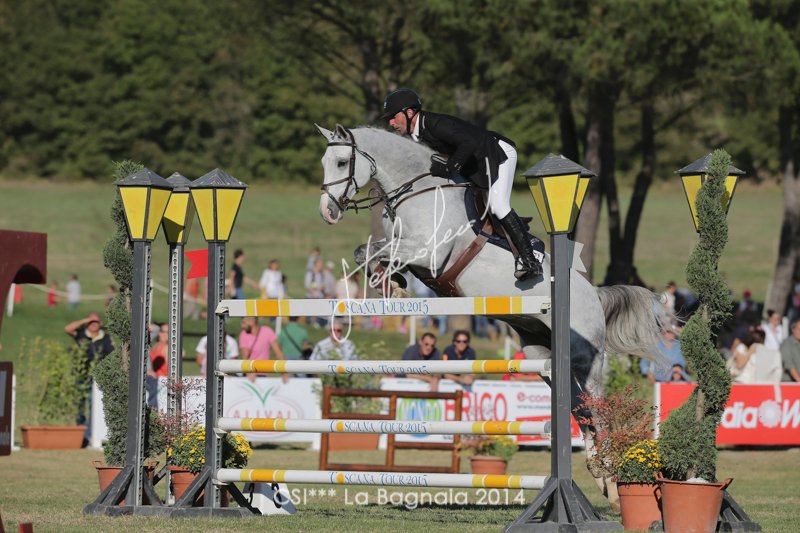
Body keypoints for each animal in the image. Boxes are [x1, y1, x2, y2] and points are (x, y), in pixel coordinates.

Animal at [315, 123, 663, 503]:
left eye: (342, 161)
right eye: (324, 162)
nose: (328, 212)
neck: (418, 190)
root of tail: (594, 295)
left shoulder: (429, 252)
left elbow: (374, 250)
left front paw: (392, 283)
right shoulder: (408, 250)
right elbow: (366, 250)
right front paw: (391, 282)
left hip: (587, 361)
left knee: (598, 411)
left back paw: (613, 482)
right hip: (542, 356)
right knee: (579, 409)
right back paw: (599, 475)